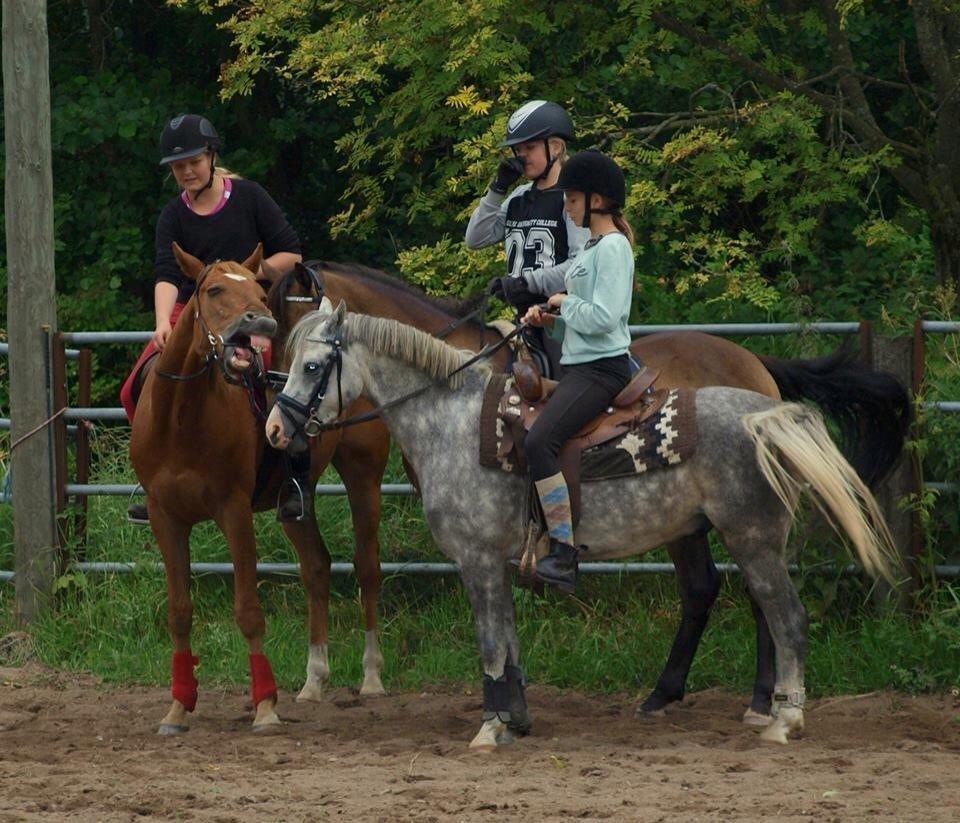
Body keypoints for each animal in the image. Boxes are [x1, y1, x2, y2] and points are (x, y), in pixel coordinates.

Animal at [266, 260, 912, 724]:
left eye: (312, 364)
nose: (274, 428)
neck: (455, 415)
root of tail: (761, 396)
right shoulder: (496, 559)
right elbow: (507, 642)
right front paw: (516, 715)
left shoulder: (477, 556)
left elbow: (492, 644)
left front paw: (496, 723)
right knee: (722, 595)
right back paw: (679, 697)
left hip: (745, 532)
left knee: (769, 609)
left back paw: (767, 708)